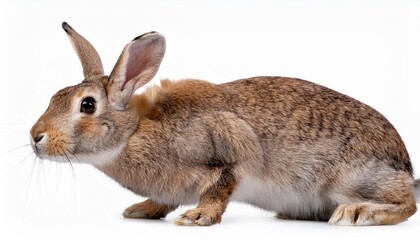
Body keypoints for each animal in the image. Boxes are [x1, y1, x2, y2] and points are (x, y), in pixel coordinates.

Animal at [30, 21, 420, 226]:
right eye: (55, 95)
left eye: (87, 105)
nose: (36, 136)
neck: (133, 133)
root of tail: (404, 164)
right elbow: (163, 200)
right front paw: (140, 211)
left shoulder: (226, 151)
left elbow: (220, 187)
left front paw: (196, 218)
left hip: (349, 178)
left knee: (407, 204)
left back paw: (356, 213)